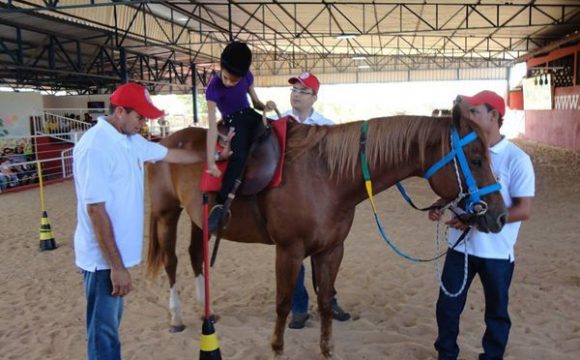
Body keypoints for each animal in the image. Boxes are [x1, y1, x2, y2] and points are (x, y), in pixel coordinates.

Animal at [146, 98, 508, 358]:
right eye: (476, 159)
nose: (500, 216)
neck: (326, 175)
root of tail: (167, 139)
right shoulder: (289, 251)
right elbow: (283, 302)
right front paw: (277, 349)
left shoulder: (331, 250)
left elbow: (324, 301)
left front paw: (327, 350)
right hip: (167, 214)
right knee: (172, 262)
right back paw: (176, 318)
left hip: (199, 219)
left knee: (196, 256)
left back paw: (206, 312)